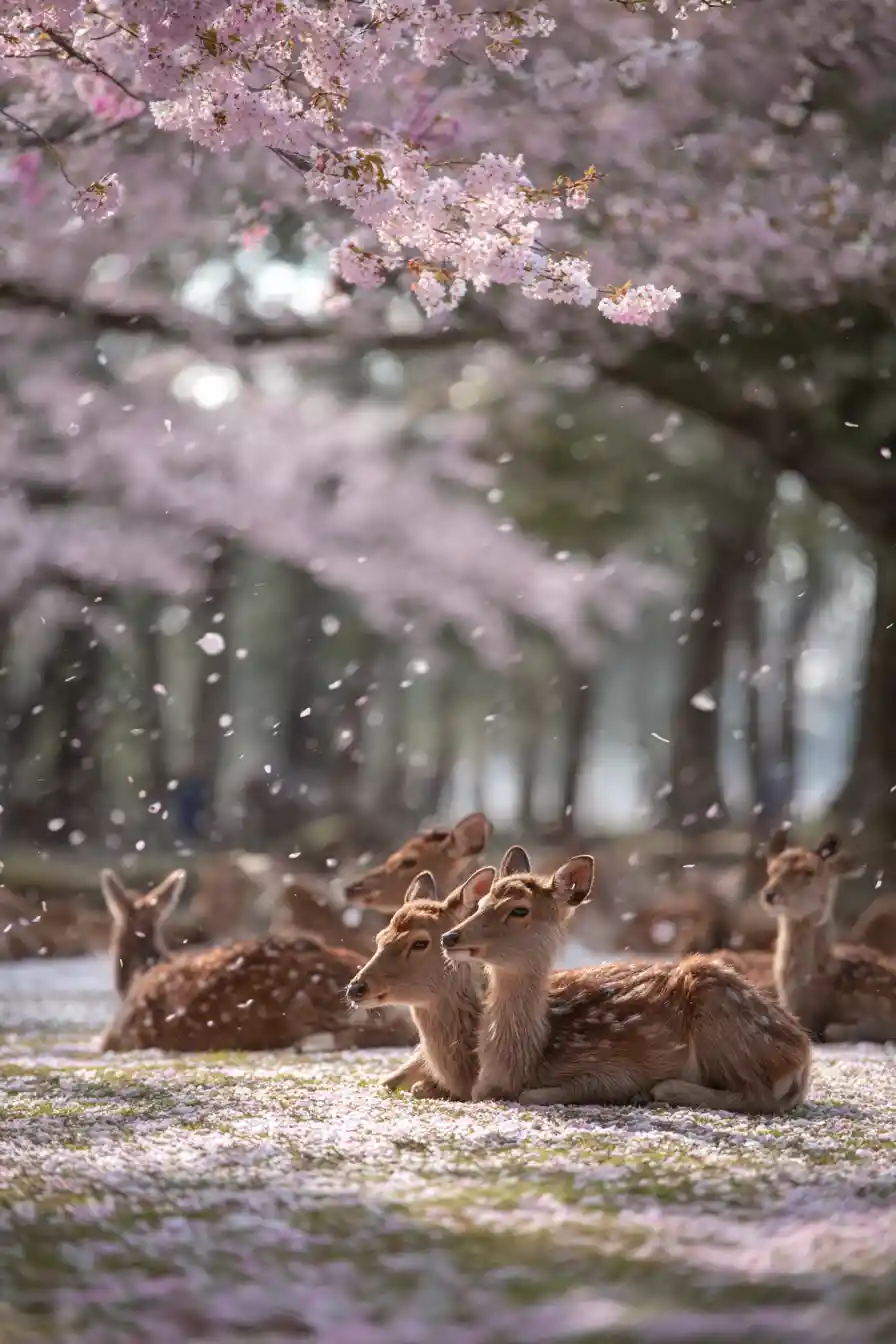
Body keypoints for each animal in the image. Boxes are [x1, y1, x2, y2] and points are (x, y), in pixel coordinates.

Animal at [441, 846, 811, 1114]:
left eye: (519, 910)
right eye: (483, 902)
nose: (450, 937)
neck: (524, 1061)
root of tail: (801, 1052)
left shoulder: (615, 1068)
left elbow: (536, 1095)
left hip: (722, 1016)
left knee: (761, 1095)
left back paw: (662, 1090)